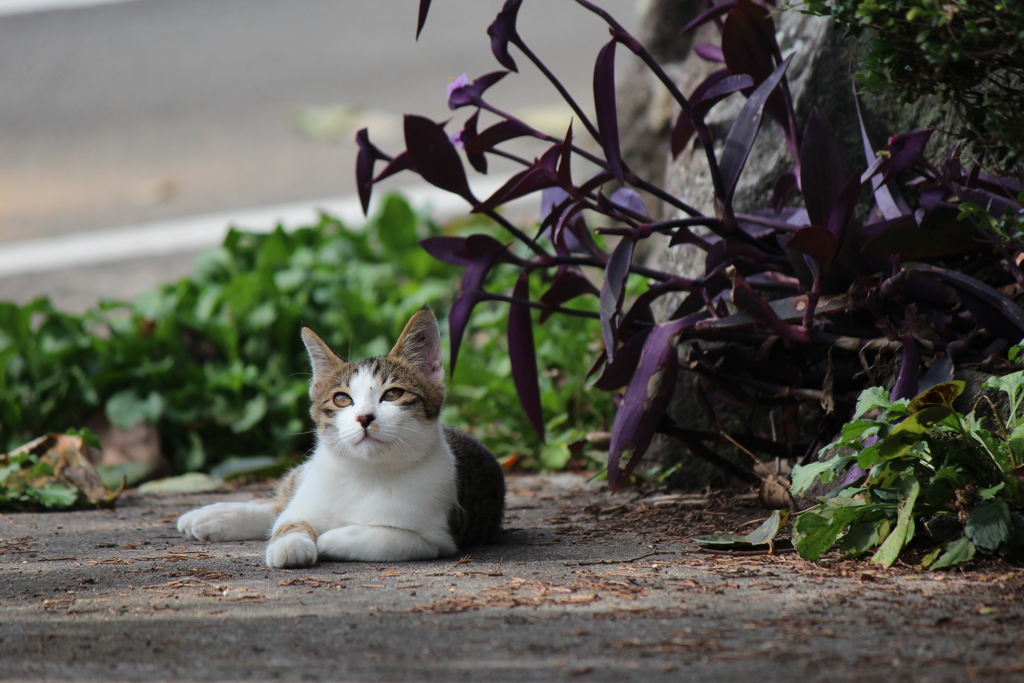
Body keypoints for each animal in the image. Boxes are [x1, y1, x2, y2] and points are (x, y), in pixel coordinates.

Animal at [182, 309, 509, 565]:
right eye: (342, 400)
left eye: (393, 394)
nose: (364, 417)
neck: (365, 472)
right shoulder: (310, 496)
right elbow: (289, 520)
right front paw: (292, 544)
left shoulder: (436, 538)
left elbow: (384, 539)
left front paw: (328, 539)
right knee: (280, 505)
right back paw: (212, 516)